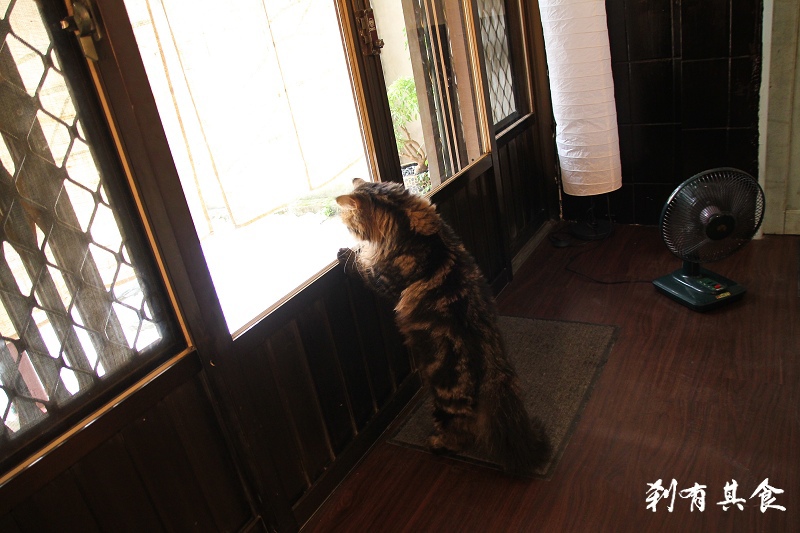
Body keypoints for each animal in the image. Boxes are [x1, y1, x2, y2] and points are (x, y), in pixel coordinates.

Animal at [332, 179, 552, 474]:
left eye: (348, 221)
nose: (344, 228)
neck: (405, 219)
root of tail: (494, 369)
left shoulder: (386, 280)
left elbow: (363, 269)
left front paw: (345, 253)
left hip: (446, 400)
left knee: (460, 433)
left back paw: (436, 444)